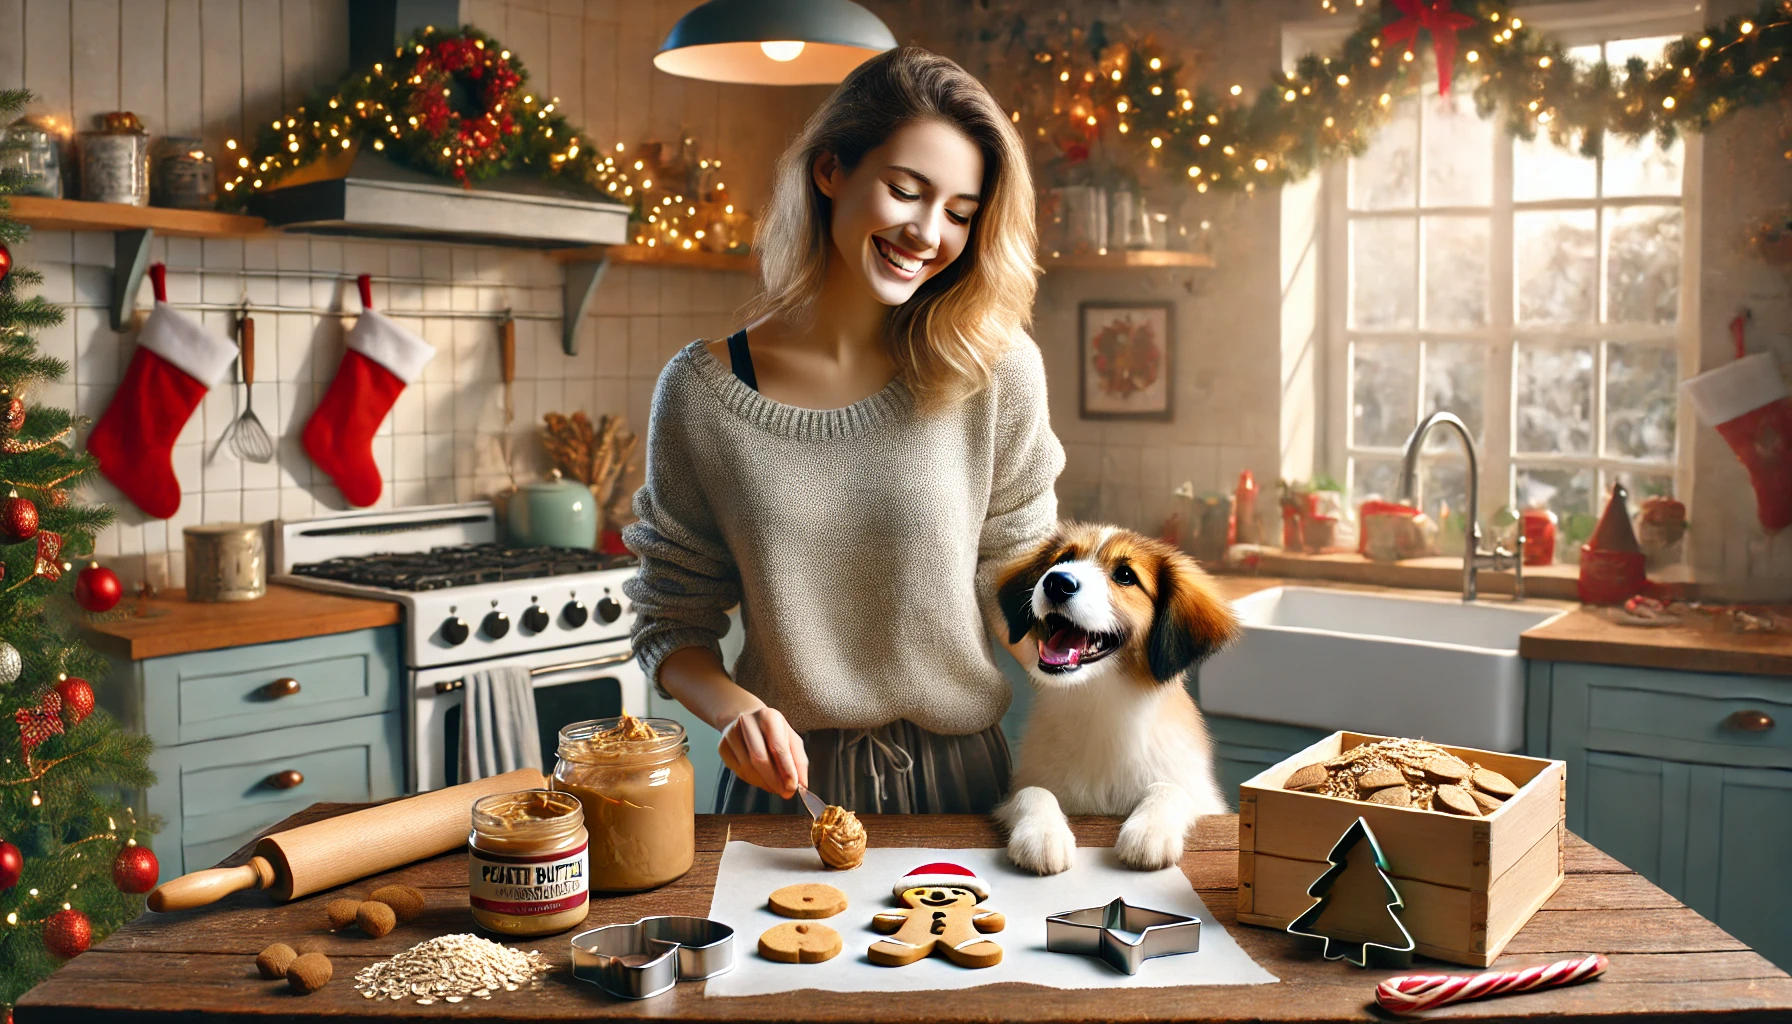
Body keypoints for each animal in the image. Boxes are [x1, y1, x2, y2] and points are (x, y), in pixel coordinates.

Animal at [996, 523, 1232, 878]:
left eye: (1125, 575)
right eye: (1063, 559)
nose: (1057, 582)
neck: (1100, 699)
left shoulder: (1201, 794)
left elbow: (1171, 788)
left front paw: (1149, 832)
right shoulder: (1026, 786)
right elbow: (1033, 791)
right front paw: (1042, 835)